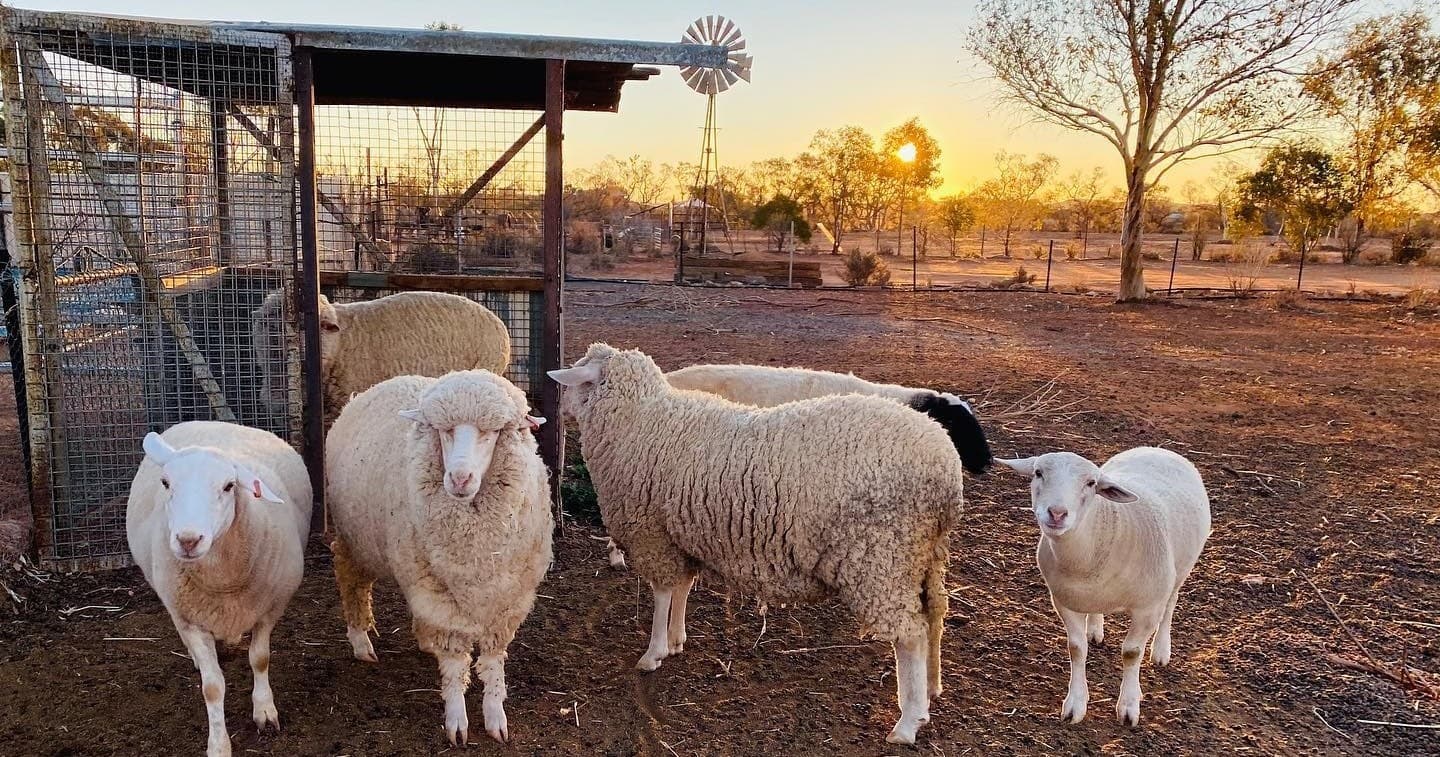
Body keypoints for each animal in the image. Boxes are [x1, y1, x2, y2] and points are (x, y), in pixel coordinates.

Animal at [125, 421, 312, 757]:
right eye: (165, 482)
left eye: (228, 486)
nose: (188, 540)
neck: (223, 586)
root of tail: (210, 422)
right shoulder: (190, 619)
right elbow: (212, 687)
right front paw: (218, 743)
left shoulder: (269, 609)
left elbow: (260, 658)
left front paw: (265, 711)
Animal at [325, 370, 553, 746]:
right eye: (445, 431)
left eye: (491, 433)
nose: (459, 478)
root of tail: (378, 386)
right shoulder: (441, 598)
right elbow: (455, 662)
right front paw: (457, 719)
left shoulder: (508, 598)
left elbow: (493, 661)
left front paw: (495, 714)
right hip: (355, 540)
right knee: (352, 582)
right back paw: (360, 641)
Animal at [550, 343, 967, 745]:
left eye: (575, 380)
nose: (556, 408)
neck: (639, 419)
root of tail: (945, 467)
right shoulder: (679, 535)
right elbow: (682, 588)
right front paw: (677, 638)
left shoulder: (653, 535)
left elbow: (664, 593)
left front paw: (654, 652)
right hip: (923, 555)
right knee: (934, 616)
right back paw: (931, 688)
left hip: (881, 557)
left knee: (909, 635)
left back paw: (908, 721)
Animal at [996, 447, 1210, 727]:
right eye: (1038, 473)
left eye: (1091, 483)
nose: (1057, 513)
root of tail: (1157, 449)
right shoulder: (1064, 601)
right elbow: (1076, 649)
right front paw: (1075, 703)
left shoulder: (1148, 608)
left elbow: (1131, 653)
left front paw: (1128, 706)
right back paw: (1095, 629)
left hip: (1180, 570)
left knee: (1171, 604)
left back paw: (1161, 650)